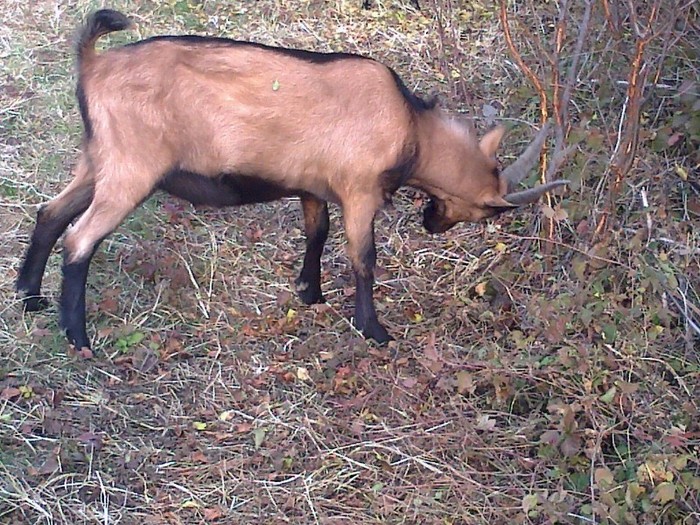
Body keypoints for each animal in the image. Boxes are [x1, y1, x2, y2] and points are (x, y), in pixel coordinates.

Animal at [16, 9, 568, 352]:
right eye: (486, 209)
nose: (432, 223)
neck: (412, 127)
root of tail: (92, 64)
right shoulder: (359, 191)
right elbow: (363, 257)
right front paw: (373, 329)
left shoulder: (312, 187)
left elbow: (316, 234)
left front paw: (309, 292)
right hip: (131, 168)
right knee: (79, 238)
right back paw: (78, 338)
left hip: (98, 159)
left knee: (50, 213)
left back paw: (29, 297)